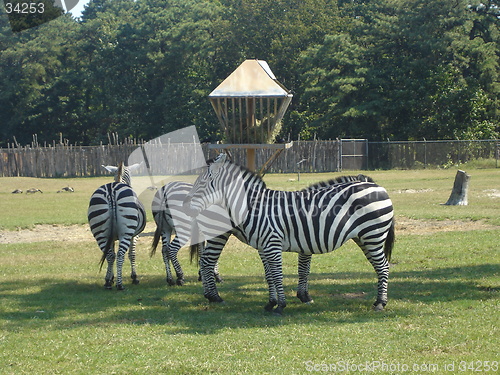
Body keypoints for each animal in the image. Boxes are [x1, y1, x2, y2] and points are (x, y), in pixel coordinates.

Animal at [186, 154, 396, 316]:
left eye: (202, 183)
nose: (187, 208)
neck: (254, 207)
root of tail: (378, 186)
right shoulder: (264, 247)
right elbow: (270, 276)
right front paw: (271, 303)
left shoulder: (274, 244)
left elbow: (282, 274)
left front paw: (281, 305)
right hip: (365, 238)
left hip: (372, 235)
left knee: (383, 266)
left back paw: (380, 303)